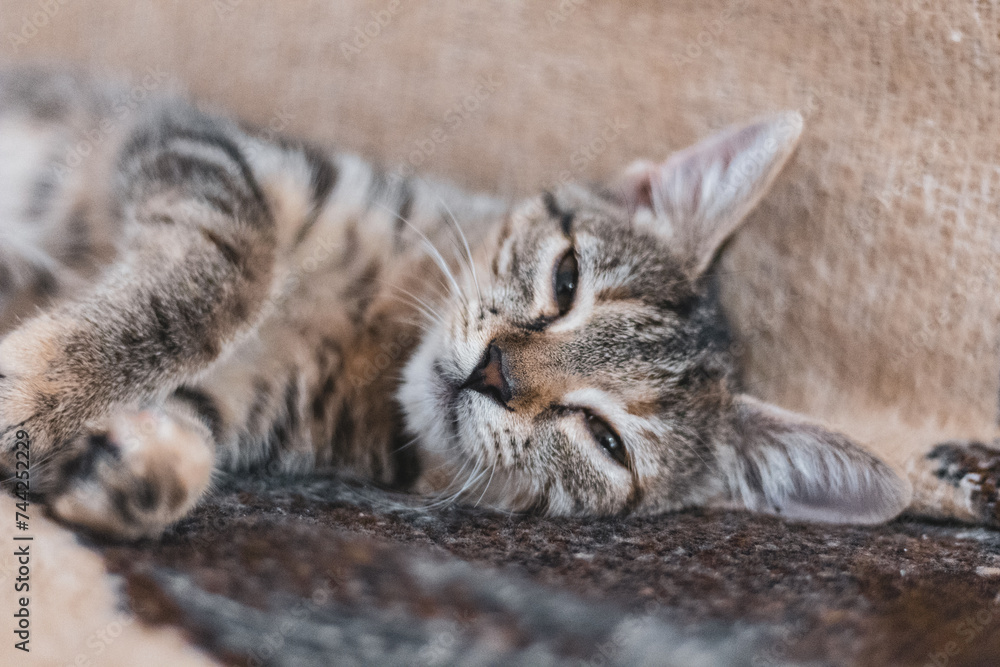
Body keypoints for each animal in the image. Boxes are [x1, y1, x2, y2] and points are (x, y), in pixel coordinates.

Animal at [0, 66, 936, 536]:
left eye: (604, 438)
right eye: (566, 280)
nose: (497, 373)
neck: (371, 334)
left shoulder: (250, 399)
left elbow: (189, 405)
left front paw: (136, 459)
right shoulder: (218, 158)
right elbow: (217, 279)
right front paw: (49, 385)